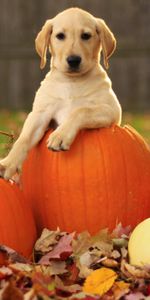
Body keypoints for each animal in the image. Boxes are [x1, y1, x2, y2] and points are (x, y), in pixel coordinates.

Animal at [0, 7, 121, 179]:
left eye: (86, 36)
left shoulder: (111, 110)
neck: (72, 82)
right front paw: (8, 163)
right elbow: (24, 137)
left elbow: (81, 110)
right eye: (60, 36)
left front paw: (60, 135)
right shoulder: (40, 114)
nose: (73, 60)